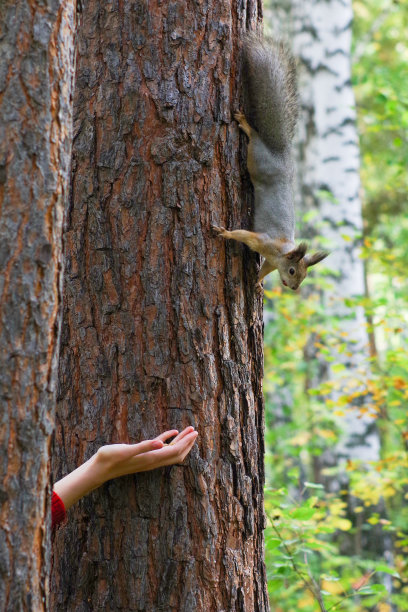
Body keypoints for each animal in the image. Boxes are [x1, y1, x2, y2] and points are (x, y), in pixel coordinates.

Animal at [214, 34, 328, 290]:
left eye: (304, 275)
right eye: (293, 270)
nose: (294, 288)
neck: (283, 251)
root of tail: (280, 152)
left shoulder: (270, 259)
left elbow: (265, 269)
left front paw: (257, 282)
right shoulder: (264, 242)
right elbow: (244, 235)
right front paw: (226, 233)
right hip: (257, 158)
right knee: (254, 138)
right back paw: (246, 125)